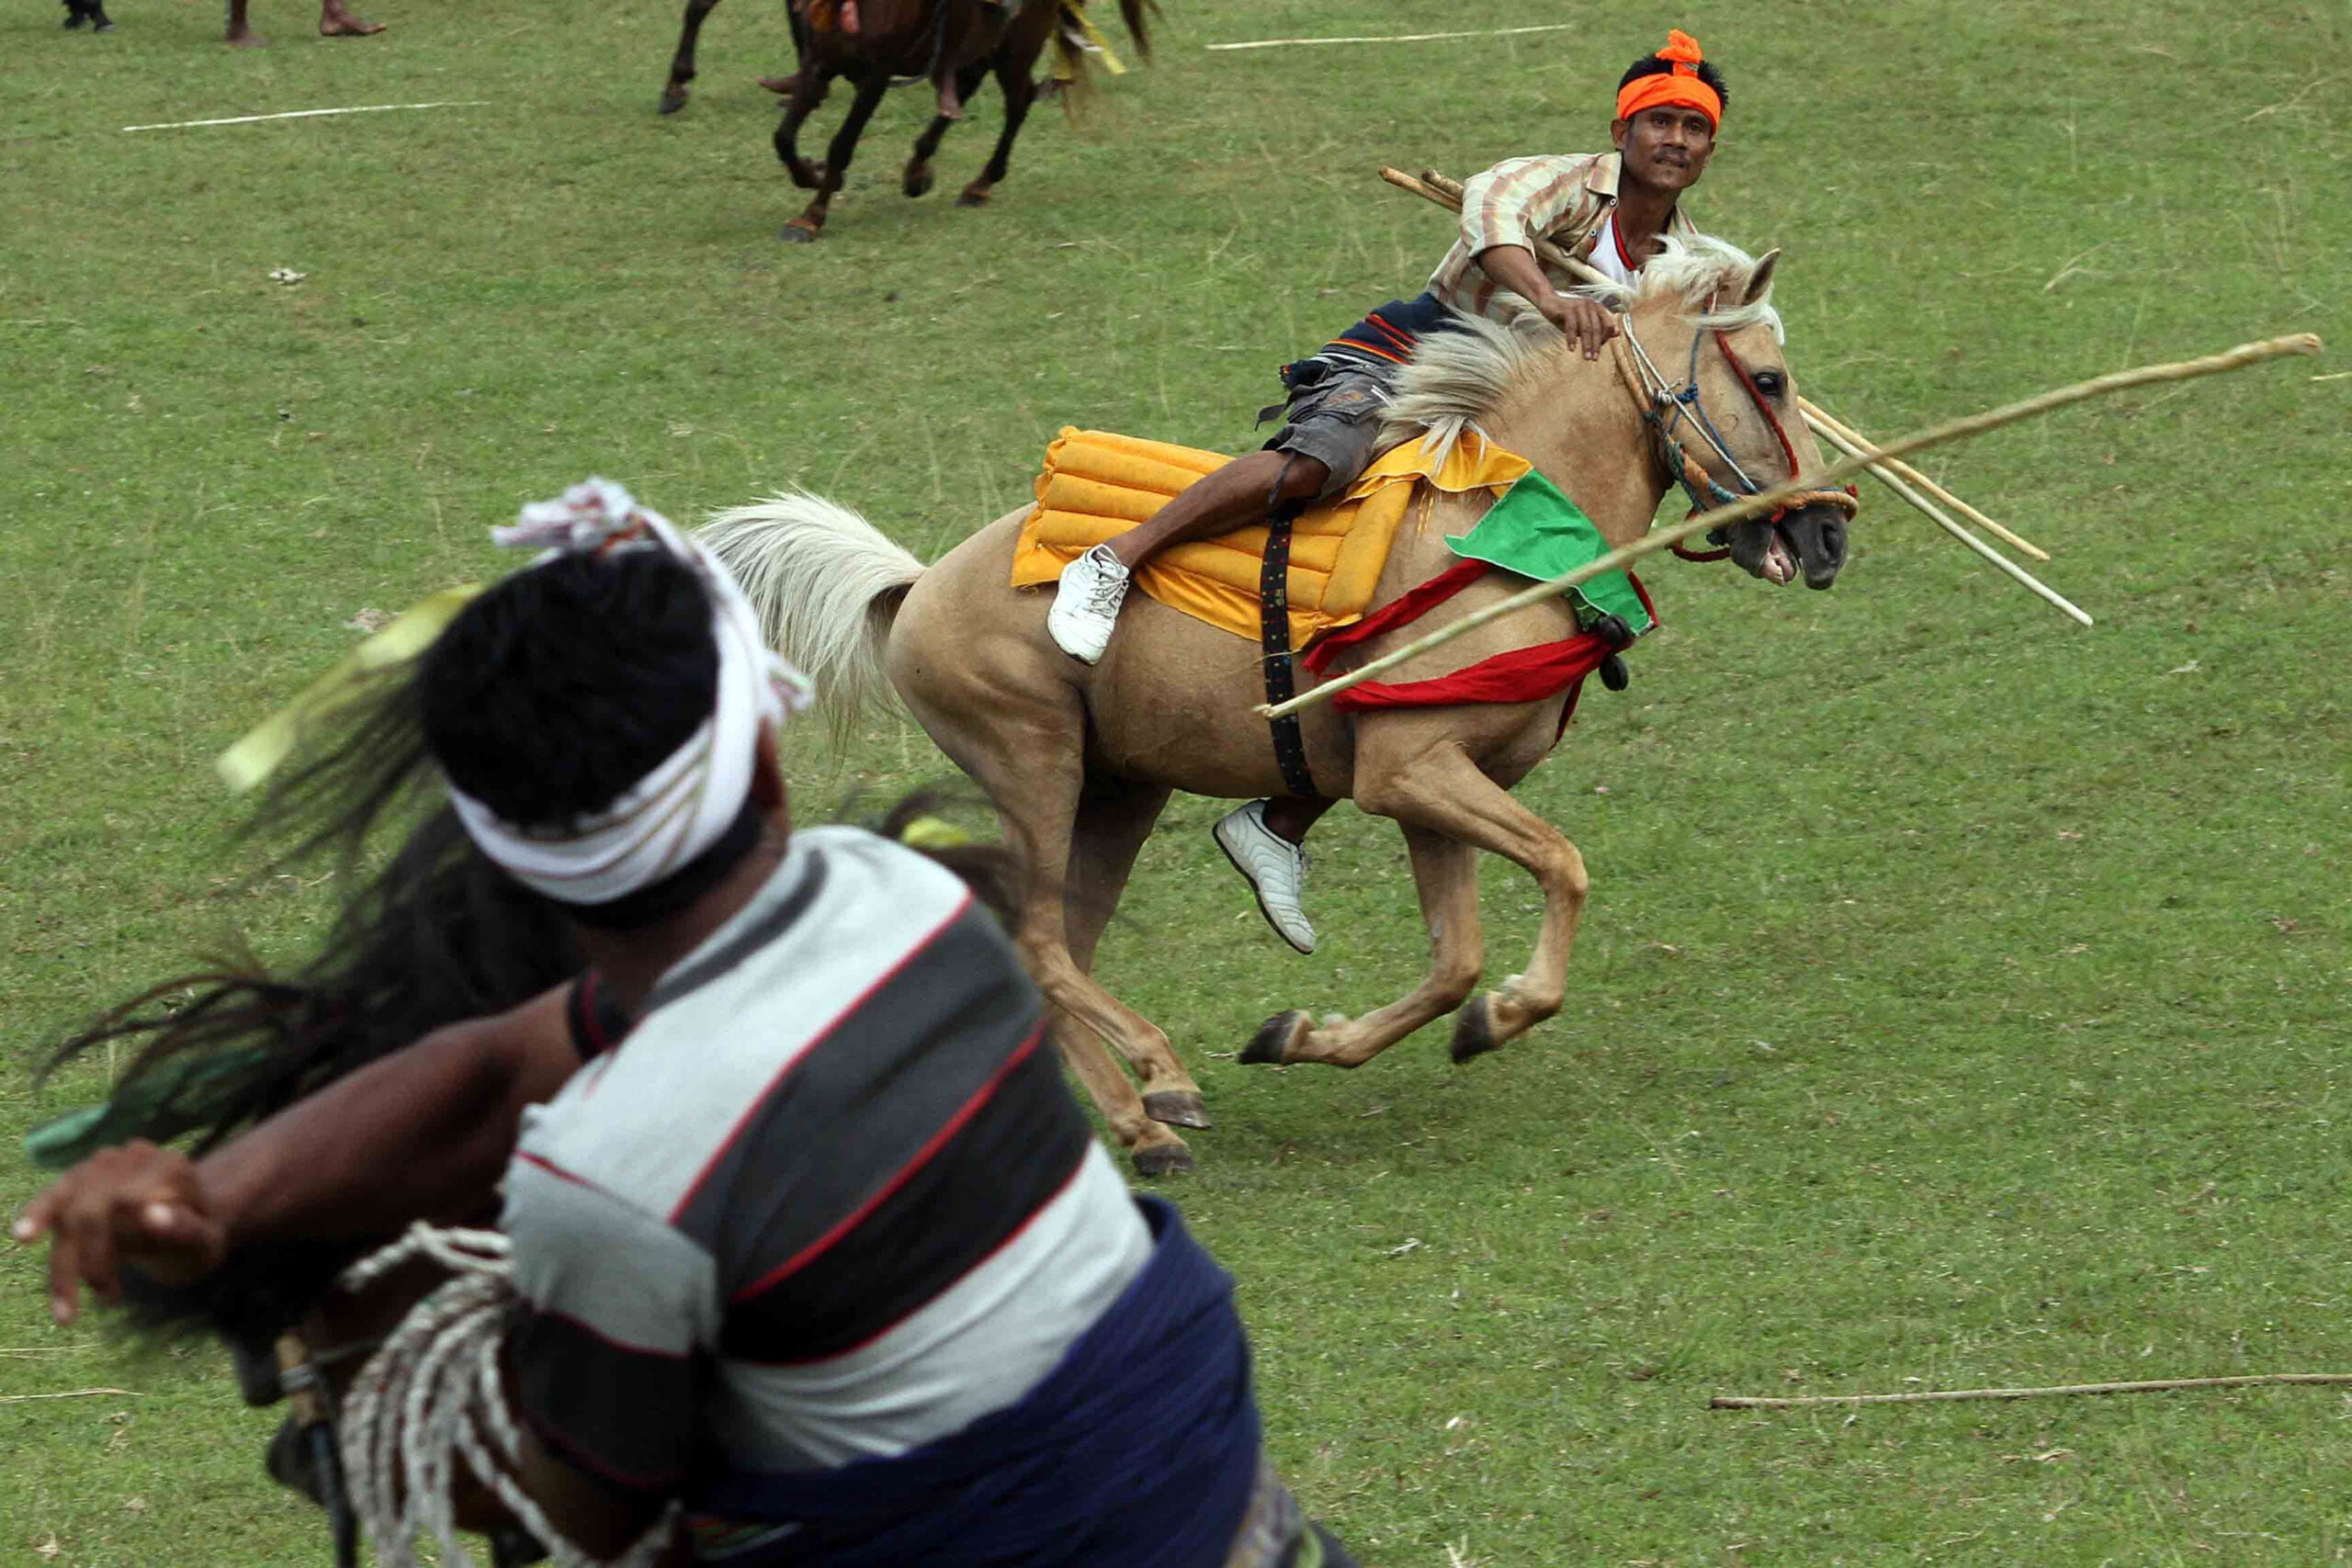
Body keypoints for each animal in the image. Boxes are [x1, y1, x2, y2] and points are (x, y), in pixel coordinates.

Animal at [695, 240, 1853, 1170]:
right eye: (1767, 377)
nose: (1832, 531)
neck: (1499, 529)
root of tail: (915, 586)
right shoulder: (1414, 772)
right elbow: (1561, 871)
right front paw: (1498, 1013)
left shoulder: (1430, 789)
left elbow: (1453, 964)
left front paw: (1316, 1035)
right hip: (1034, 763)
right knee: (1033, 939)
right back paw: (1157, 1068)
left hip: (1117, 792)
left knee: (1055, 946)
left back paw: (1146, 1119)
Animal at [771, 0, 1148, 241]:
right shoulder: (818, 61)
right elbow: (783, 138)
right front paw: (814, 175)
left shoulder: (876, 74)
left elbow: (841, 144)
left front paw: (811, 216)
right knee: (966, 85)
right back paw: (919, 170)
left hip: (1020, 41)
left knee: (1017, 102)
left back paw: (979, 184)